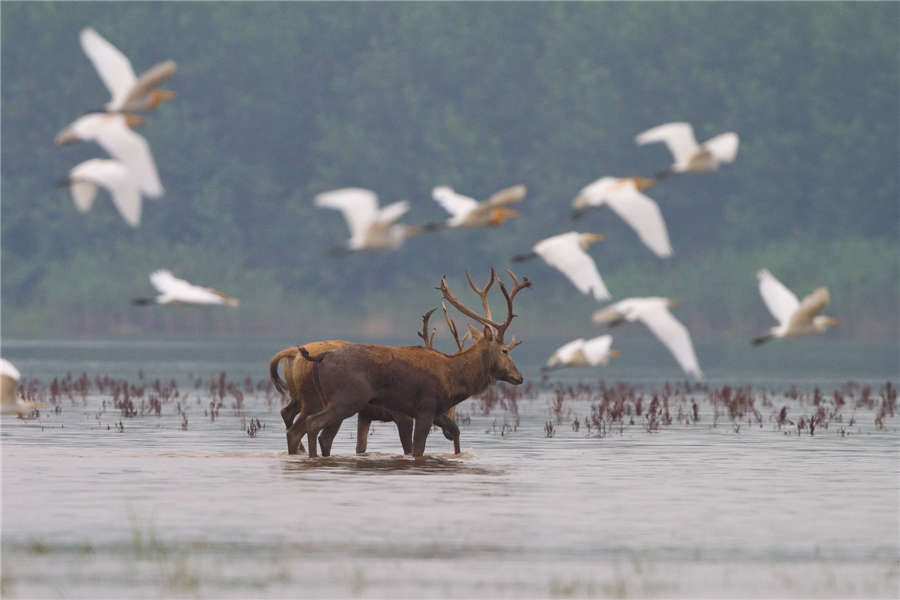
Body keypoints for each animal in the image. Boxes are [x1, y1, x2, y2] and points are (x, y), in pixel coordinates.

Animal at [298, 270, 532, 458]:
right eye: (505, 350)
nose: (519, 377)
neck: (453, 378)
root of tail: (321, 357)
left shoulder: (437, 411)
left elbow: (455, 430)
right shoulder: (425, 407)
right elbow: (418, 449)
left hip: (334, 399)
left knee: (324, 436)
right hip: (347, 397)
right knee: (313, 423)